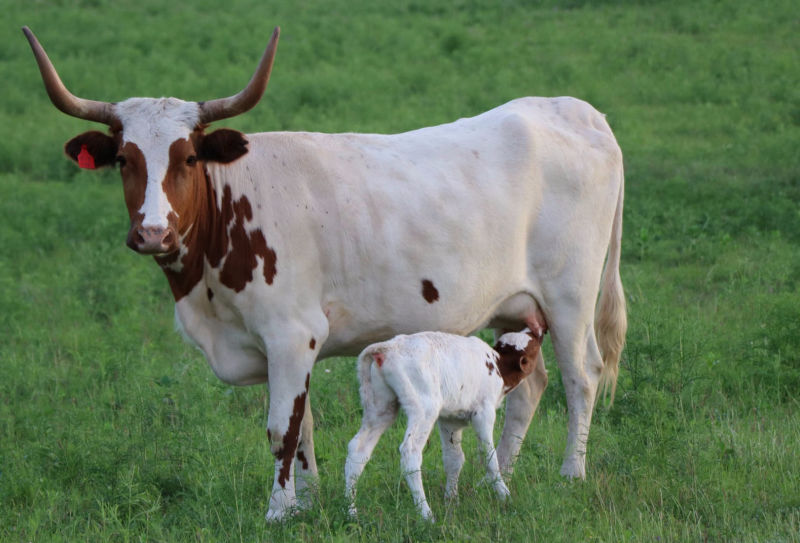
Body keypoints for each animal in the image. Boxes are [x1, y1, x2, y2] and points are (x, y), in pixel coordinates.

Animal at [345, 329, 546, 521]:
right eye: (534, 346)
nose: (538, 331)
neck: (497, 365)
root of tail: (388, 347)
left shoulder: (450, 420)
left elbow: (454, 459)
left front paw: (451, 500)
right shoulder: (484, 411)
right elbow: (489, 456)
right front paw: (504, 495)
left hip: (380, 406)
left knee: (358, 449)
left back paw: (351, 511)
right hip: (424, 406)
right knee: (410, 451)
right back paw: (425, 514)